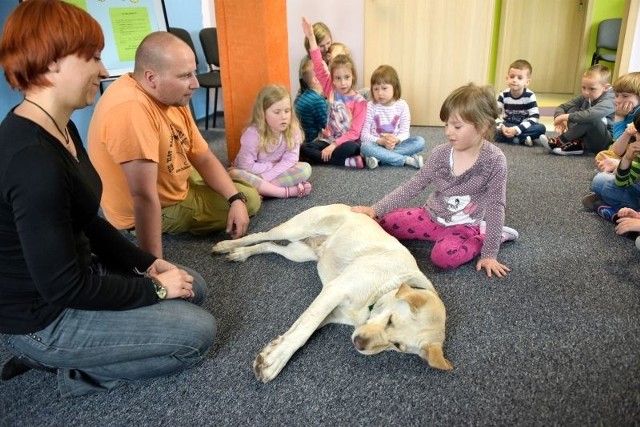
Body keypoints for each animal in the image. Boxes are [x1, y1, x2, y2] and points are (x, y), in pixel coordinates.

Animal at [212, 205, 452, 384]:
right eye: (391, 320)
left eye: (397, 346)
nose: (359, 344)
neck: (385, 287)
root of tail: (347, 206)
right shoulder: (334, 291)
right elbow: (303, 331)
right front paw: (275, 363)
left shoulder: (332, 312)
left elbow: (302, 327)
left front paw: (273, 351)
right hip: (295, 229)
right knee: (262, 235)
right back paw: (228, 245)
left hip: (299, 253)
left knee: (269, 246)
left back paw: (241, 254)